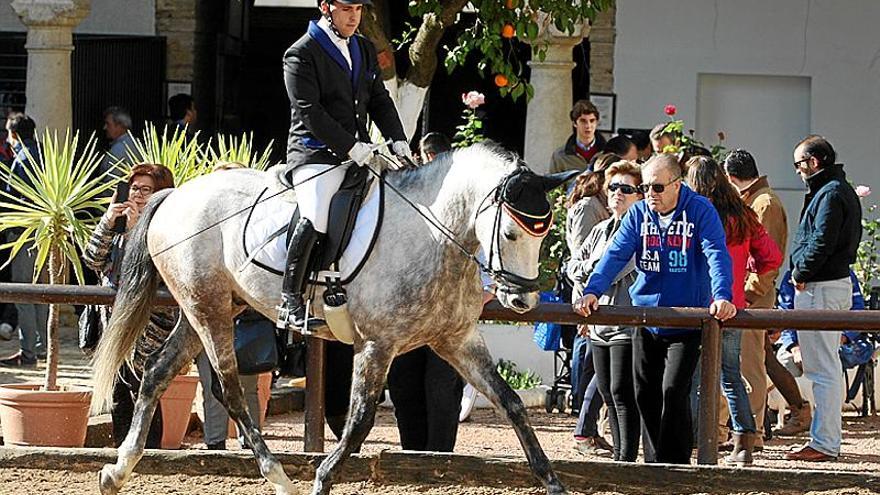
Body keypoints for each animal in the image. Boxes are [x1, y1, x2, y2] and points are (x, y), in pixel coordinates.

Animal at [89, 141, 572, 494]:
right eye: (510, 233)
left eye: (546, 232)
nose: (523, 302)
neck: (434, 234)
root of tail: (176, 193)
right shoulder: (378, 343)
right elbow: (359, 423)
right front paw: (322, 479)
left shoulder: (456, 338)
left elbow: (511, 403)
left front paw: (552, 483)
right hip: (207, 309)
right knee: (229, 390)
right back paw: (279, 477)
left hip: (209, 307)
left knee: (156, 374)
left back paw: (116, 472)